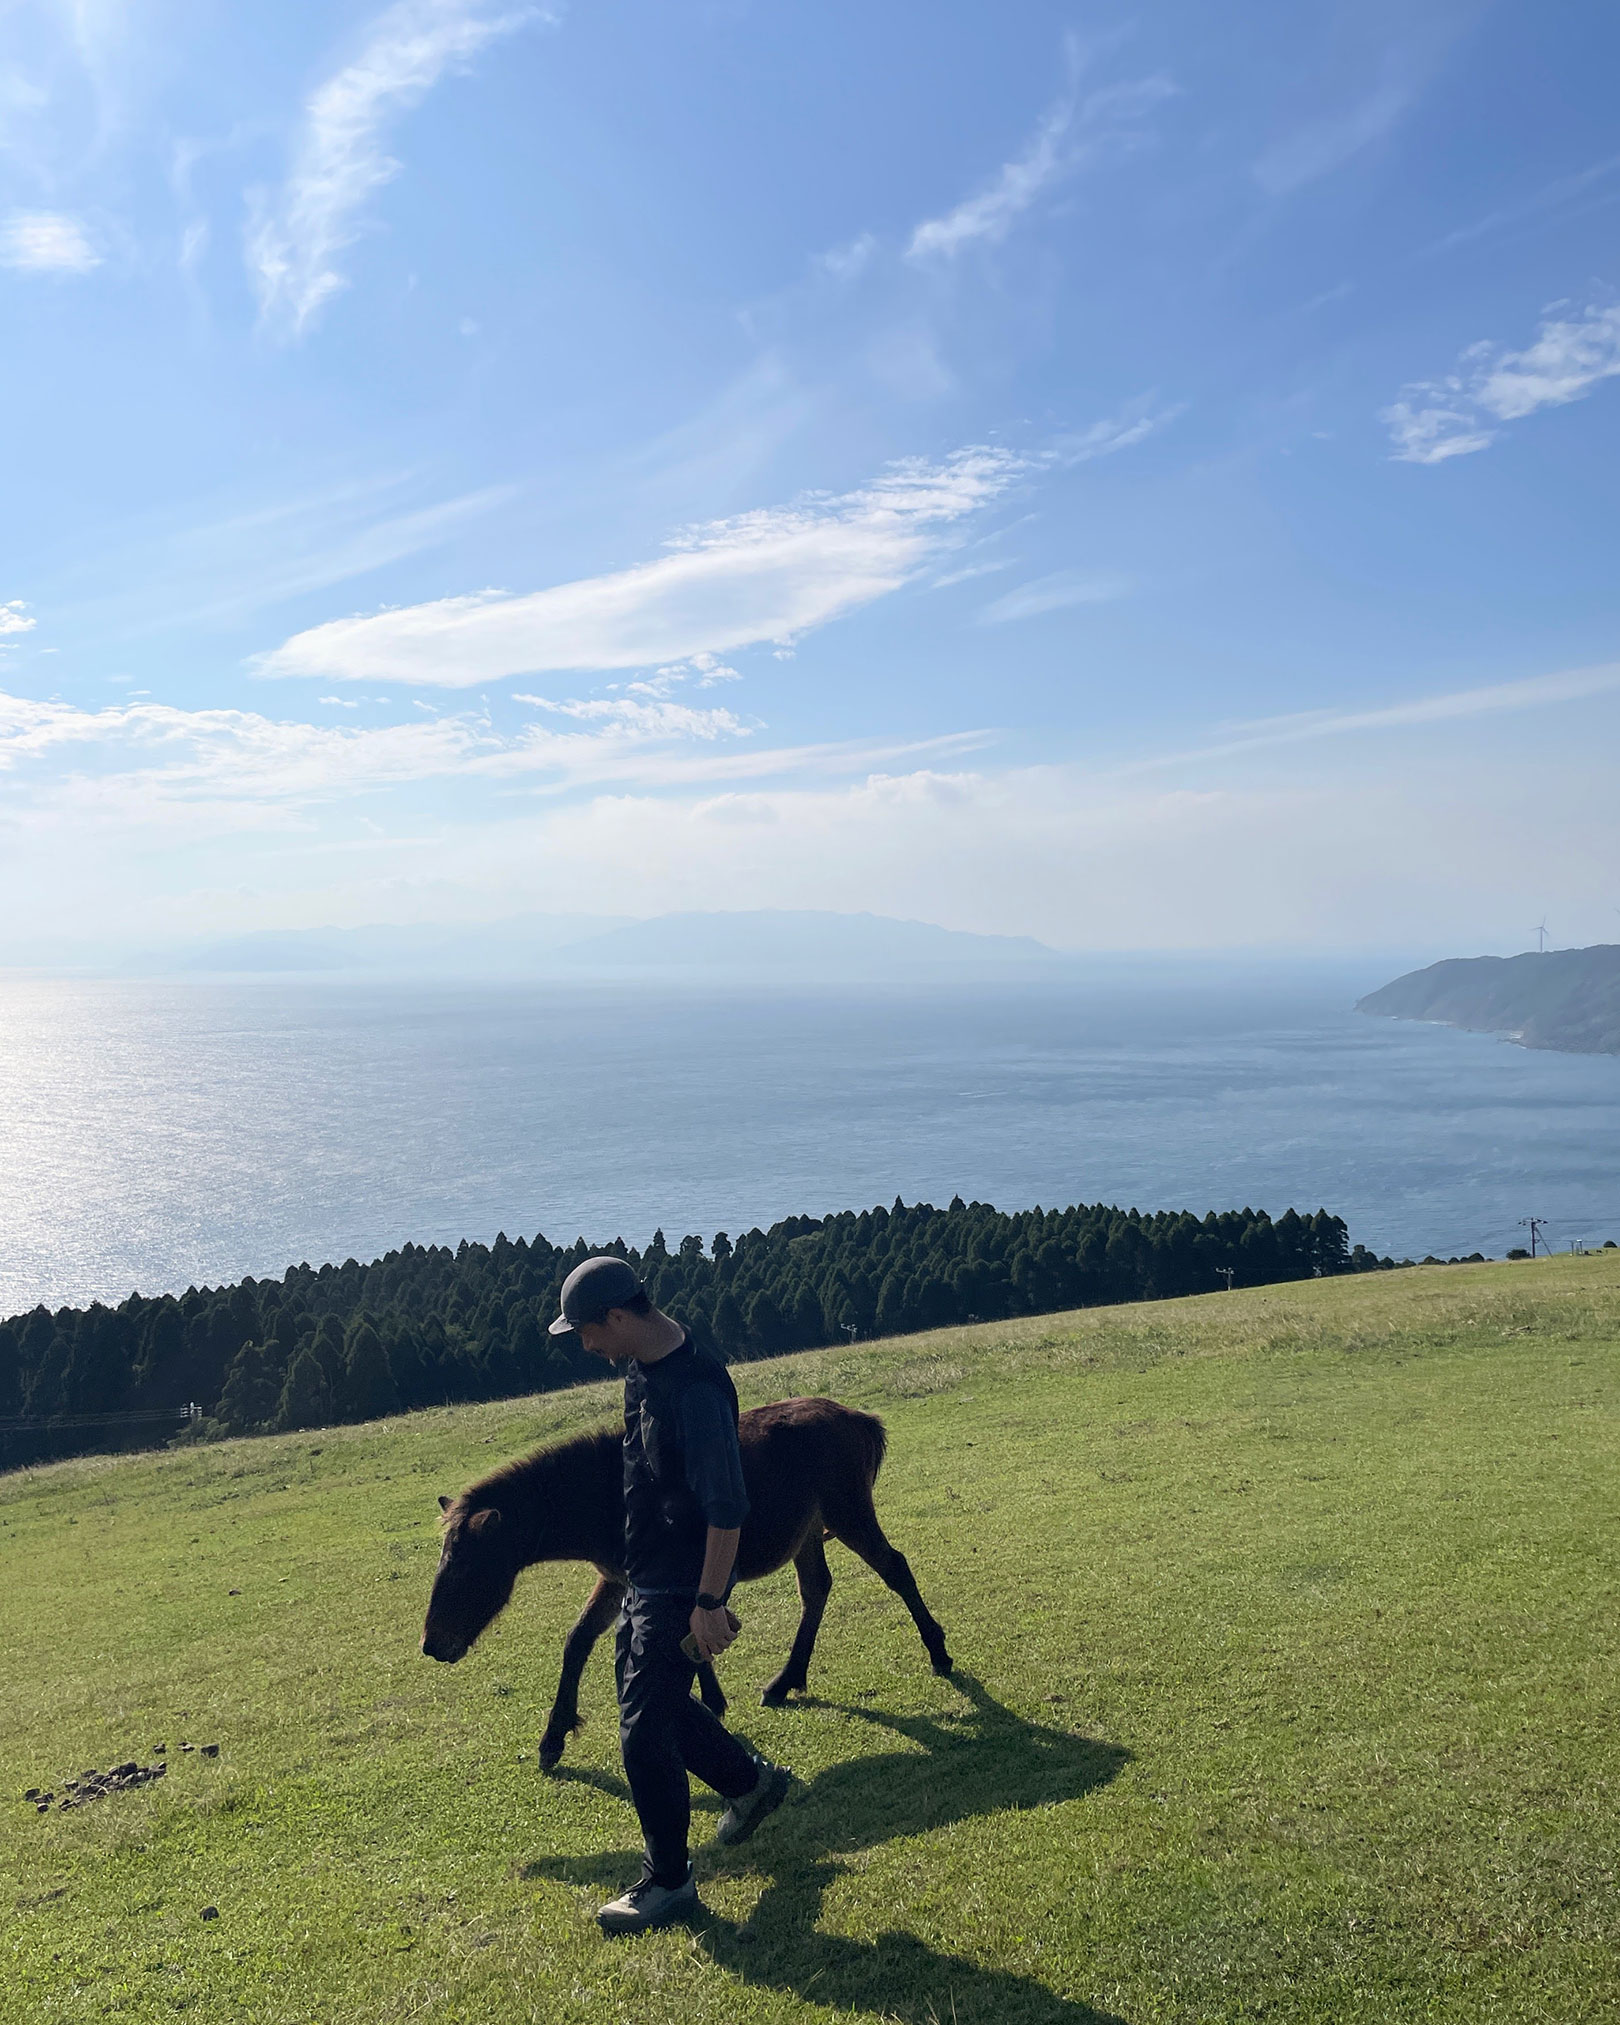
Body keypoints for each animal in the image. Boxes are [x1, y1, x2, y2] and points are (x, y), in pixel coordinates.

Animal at [421, 1393, 947, 1773]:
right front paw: (553, 1739)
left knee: (895, 1568)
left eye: (466, 1569)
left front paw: (708, 1703)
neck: (607, 1494)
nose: (432, 1644)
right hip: (807, 1534)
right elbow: (579, 1640)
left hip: (849, 1513)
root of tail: (857, 1417)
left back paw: (939, 1653)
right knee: (816, 1590)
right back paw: (785, 1681)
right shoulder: (617, 1580)